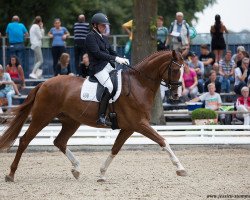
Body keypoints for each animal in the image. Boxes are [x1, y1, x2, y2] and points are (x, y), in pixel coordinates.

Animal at [0, 49, 187, 181]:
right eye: (175, 69)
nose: (176, 96)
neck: (138, 84)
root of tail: (43, 83)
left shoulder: (129, 128)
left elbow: (115, 149)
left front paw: (102, 174)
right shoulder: (139, 124)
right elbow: (163, 141)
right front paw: (180, 168)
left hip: (71, 121)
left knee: (59, 141)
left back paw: (77, 169)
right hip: (42, 117)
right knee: (24, 140)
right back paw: (11, 174)